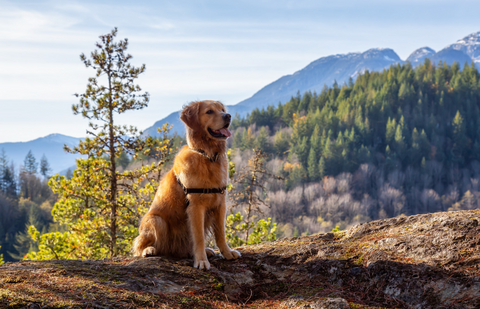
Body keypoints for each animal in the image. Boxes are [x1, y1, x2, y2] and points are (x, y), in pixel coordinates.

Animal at [132, 100, 240, 268]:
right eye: (209, 111)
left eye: (222, 110)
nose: (227, 116)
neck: (207, 156)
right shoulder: (196, 206)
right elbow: (199, 237)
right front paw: (201, 261)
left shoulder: (220, 204)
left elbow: (221, 234)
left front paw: (227, 253)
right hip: (157, 221)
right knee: (140, 245)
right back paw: (148, 250)